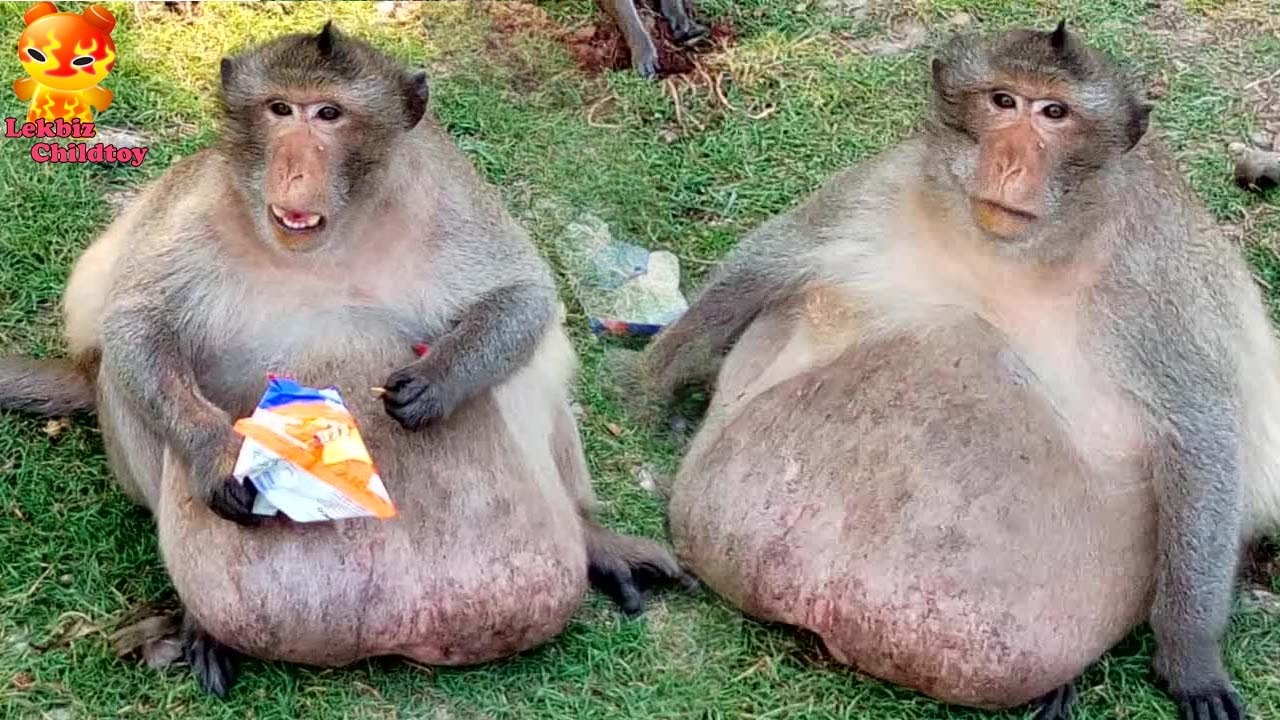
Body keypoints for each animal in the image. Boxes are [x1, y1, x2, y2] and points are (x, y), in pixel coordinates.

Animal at [0, 23, 688, 696]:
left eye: (329, 114)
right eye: (280, 109)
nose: (294, 170)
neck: (329, 241)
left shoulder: (444, 185)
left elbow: (525, 296)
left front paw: (436, 382)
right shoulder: (197, 205)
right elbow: (137, 327)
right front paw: (218, 455)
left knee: (532, 359)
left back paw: (592, 538)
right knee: (123, 376)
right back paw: (200, 618)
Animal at [640, 23, 1280, 720]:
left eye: (1054, 113)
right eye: (1003, 101)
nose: (1010, 163)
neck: (1015, 248)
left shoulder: (1148, 274)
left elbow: (1202, 435)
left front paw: (1190, 654)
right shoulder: (890, 179)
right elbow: (769, 258)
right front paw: (649, 386)